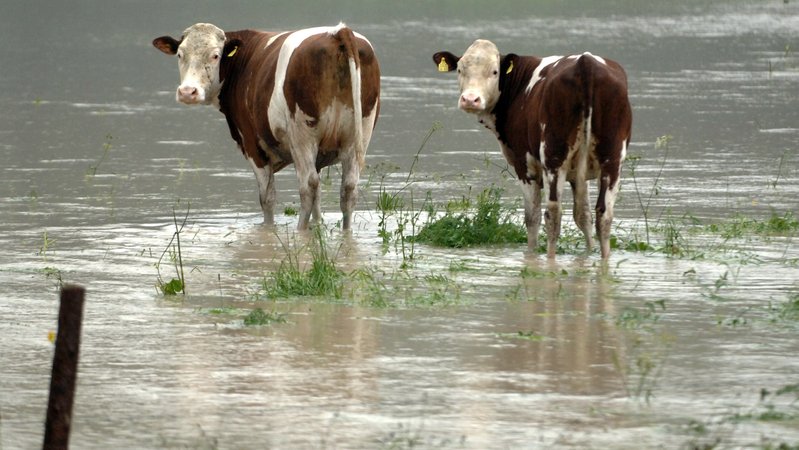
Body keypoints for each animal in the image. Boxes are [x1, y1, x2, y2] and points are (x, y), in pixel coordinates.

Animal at [153, 23, 380, 230]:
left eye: (215, 56)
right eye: (180, 55)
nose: (187, 92)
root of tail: (338, 31)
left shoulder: (252, 144)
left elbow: (267, 198)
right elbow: (318, 200)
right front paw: (317, 226)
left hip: (303, 136)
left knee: (308, 185)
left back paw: (300, 230)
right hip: (358, 136)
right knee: (348, 188)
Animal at [433, 40, 632, 259]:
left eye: (494, 71)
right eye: (460, 69)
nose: (470, 99)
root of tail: (586, 62)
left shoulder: (523, 164)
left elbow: (532, 217)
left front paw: (531, 254)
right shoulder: (577, 173)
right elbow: (583, 215)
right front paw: (588, 254)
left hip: (554, 156)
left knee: (552, 213)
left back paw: (550, 258)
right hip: (612, 159)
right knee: (603, 214)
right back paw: (604, 258)